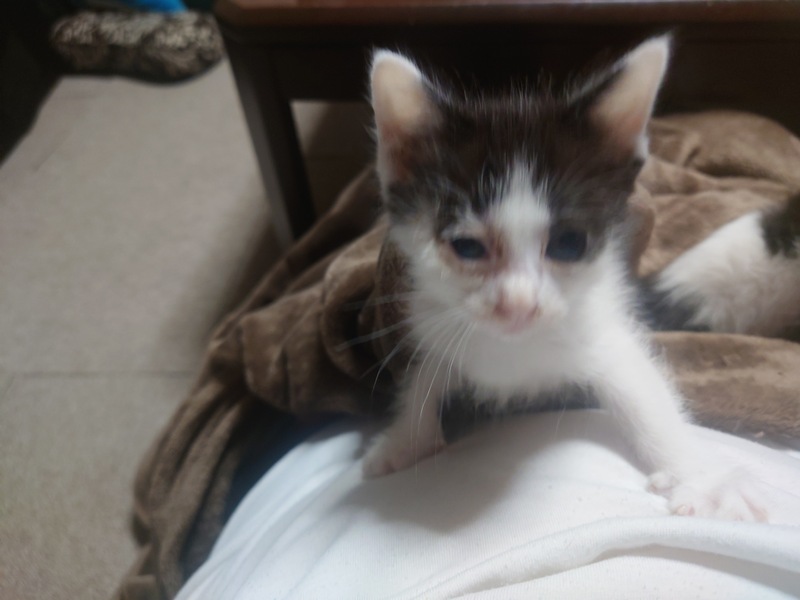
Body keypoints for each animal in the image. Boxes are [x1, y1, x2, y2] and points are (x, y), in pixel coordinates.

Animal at [363, 35, 800, 522]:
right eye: (467, 247)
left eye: (569, 244)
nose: (518, 304)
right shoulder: (432, 319)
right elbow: (426, 373)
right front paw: (404, 439)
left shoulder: (602, 331)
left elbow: (647, 398)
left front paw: (706, 480)